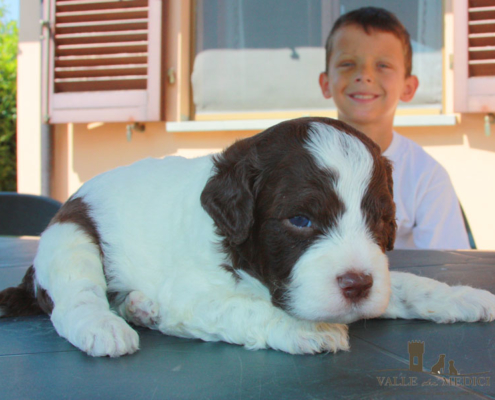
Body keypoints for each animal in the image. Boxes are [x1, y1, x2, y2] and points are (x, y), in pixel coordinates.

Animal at [0, 116, 495, 356]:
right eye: (301, 220)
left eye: (379, 218)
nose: (357, 285)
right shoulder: (194, 296)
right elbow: (246, 310)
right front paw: (305, 328)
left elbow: (408, 285)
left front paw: (463, 297)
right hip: (69, 238)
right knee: (73, 301)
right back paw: (103, 326)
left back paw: (139, 307)